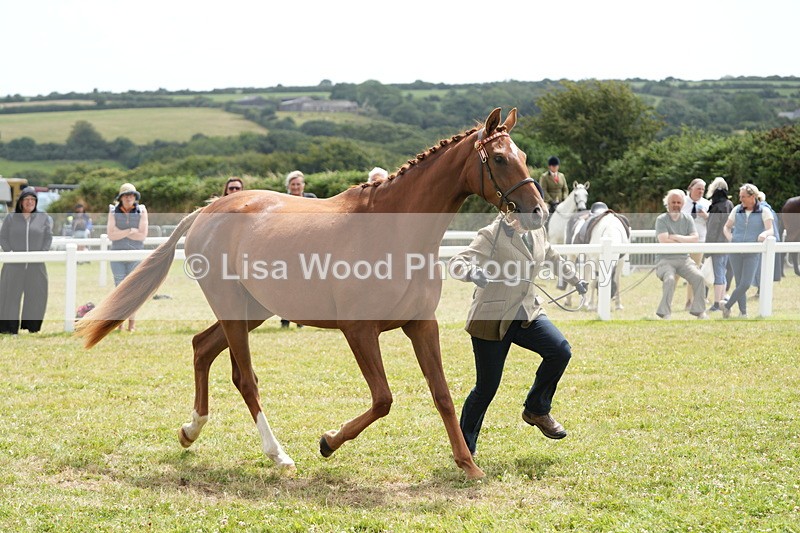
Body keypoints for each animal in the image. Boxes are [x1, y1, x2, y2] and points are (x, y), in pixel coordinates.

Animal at [76, 108, 548, 481]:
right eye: (500, 158)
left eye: (524, 157)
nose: (538, 212)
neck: (396, 232)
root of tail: (207, 210)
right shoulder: (359, 331)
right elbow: (383, 399)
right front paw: (327, 442)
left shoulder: (420, 325)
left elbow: (443, 395)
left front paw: (469, 465)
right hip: (233, 309)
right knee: (244, 378)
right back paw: (278, 455)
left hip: (253, 309)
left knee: (201, 346)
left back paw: (190, 431)